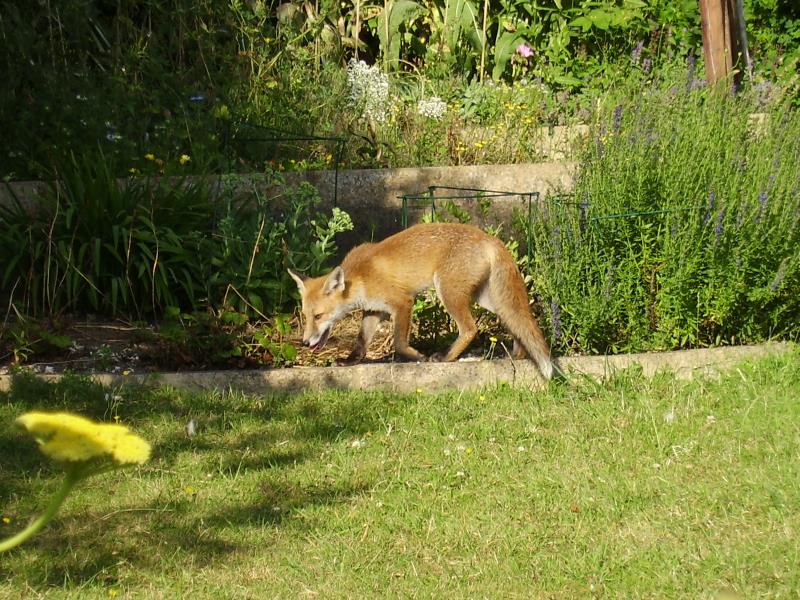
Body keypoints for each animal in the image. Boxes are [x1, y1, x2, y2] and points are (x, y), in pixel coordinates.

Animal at [290, 220, 556, 380]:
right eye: (306, 317)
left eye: (318, 316)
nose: (305, 342)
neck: (360, 279)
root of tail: (489, 238)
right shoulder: (373, 311)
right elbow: (361, 342)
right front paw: (349, 362)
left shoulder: (402, 302)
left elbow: (398, 342)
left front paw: (417, 357)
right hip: (485, 298)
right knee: (514, 321)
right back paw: (518, 354)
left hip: (448, 292)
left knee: (470, 328)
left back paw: (446, 357)